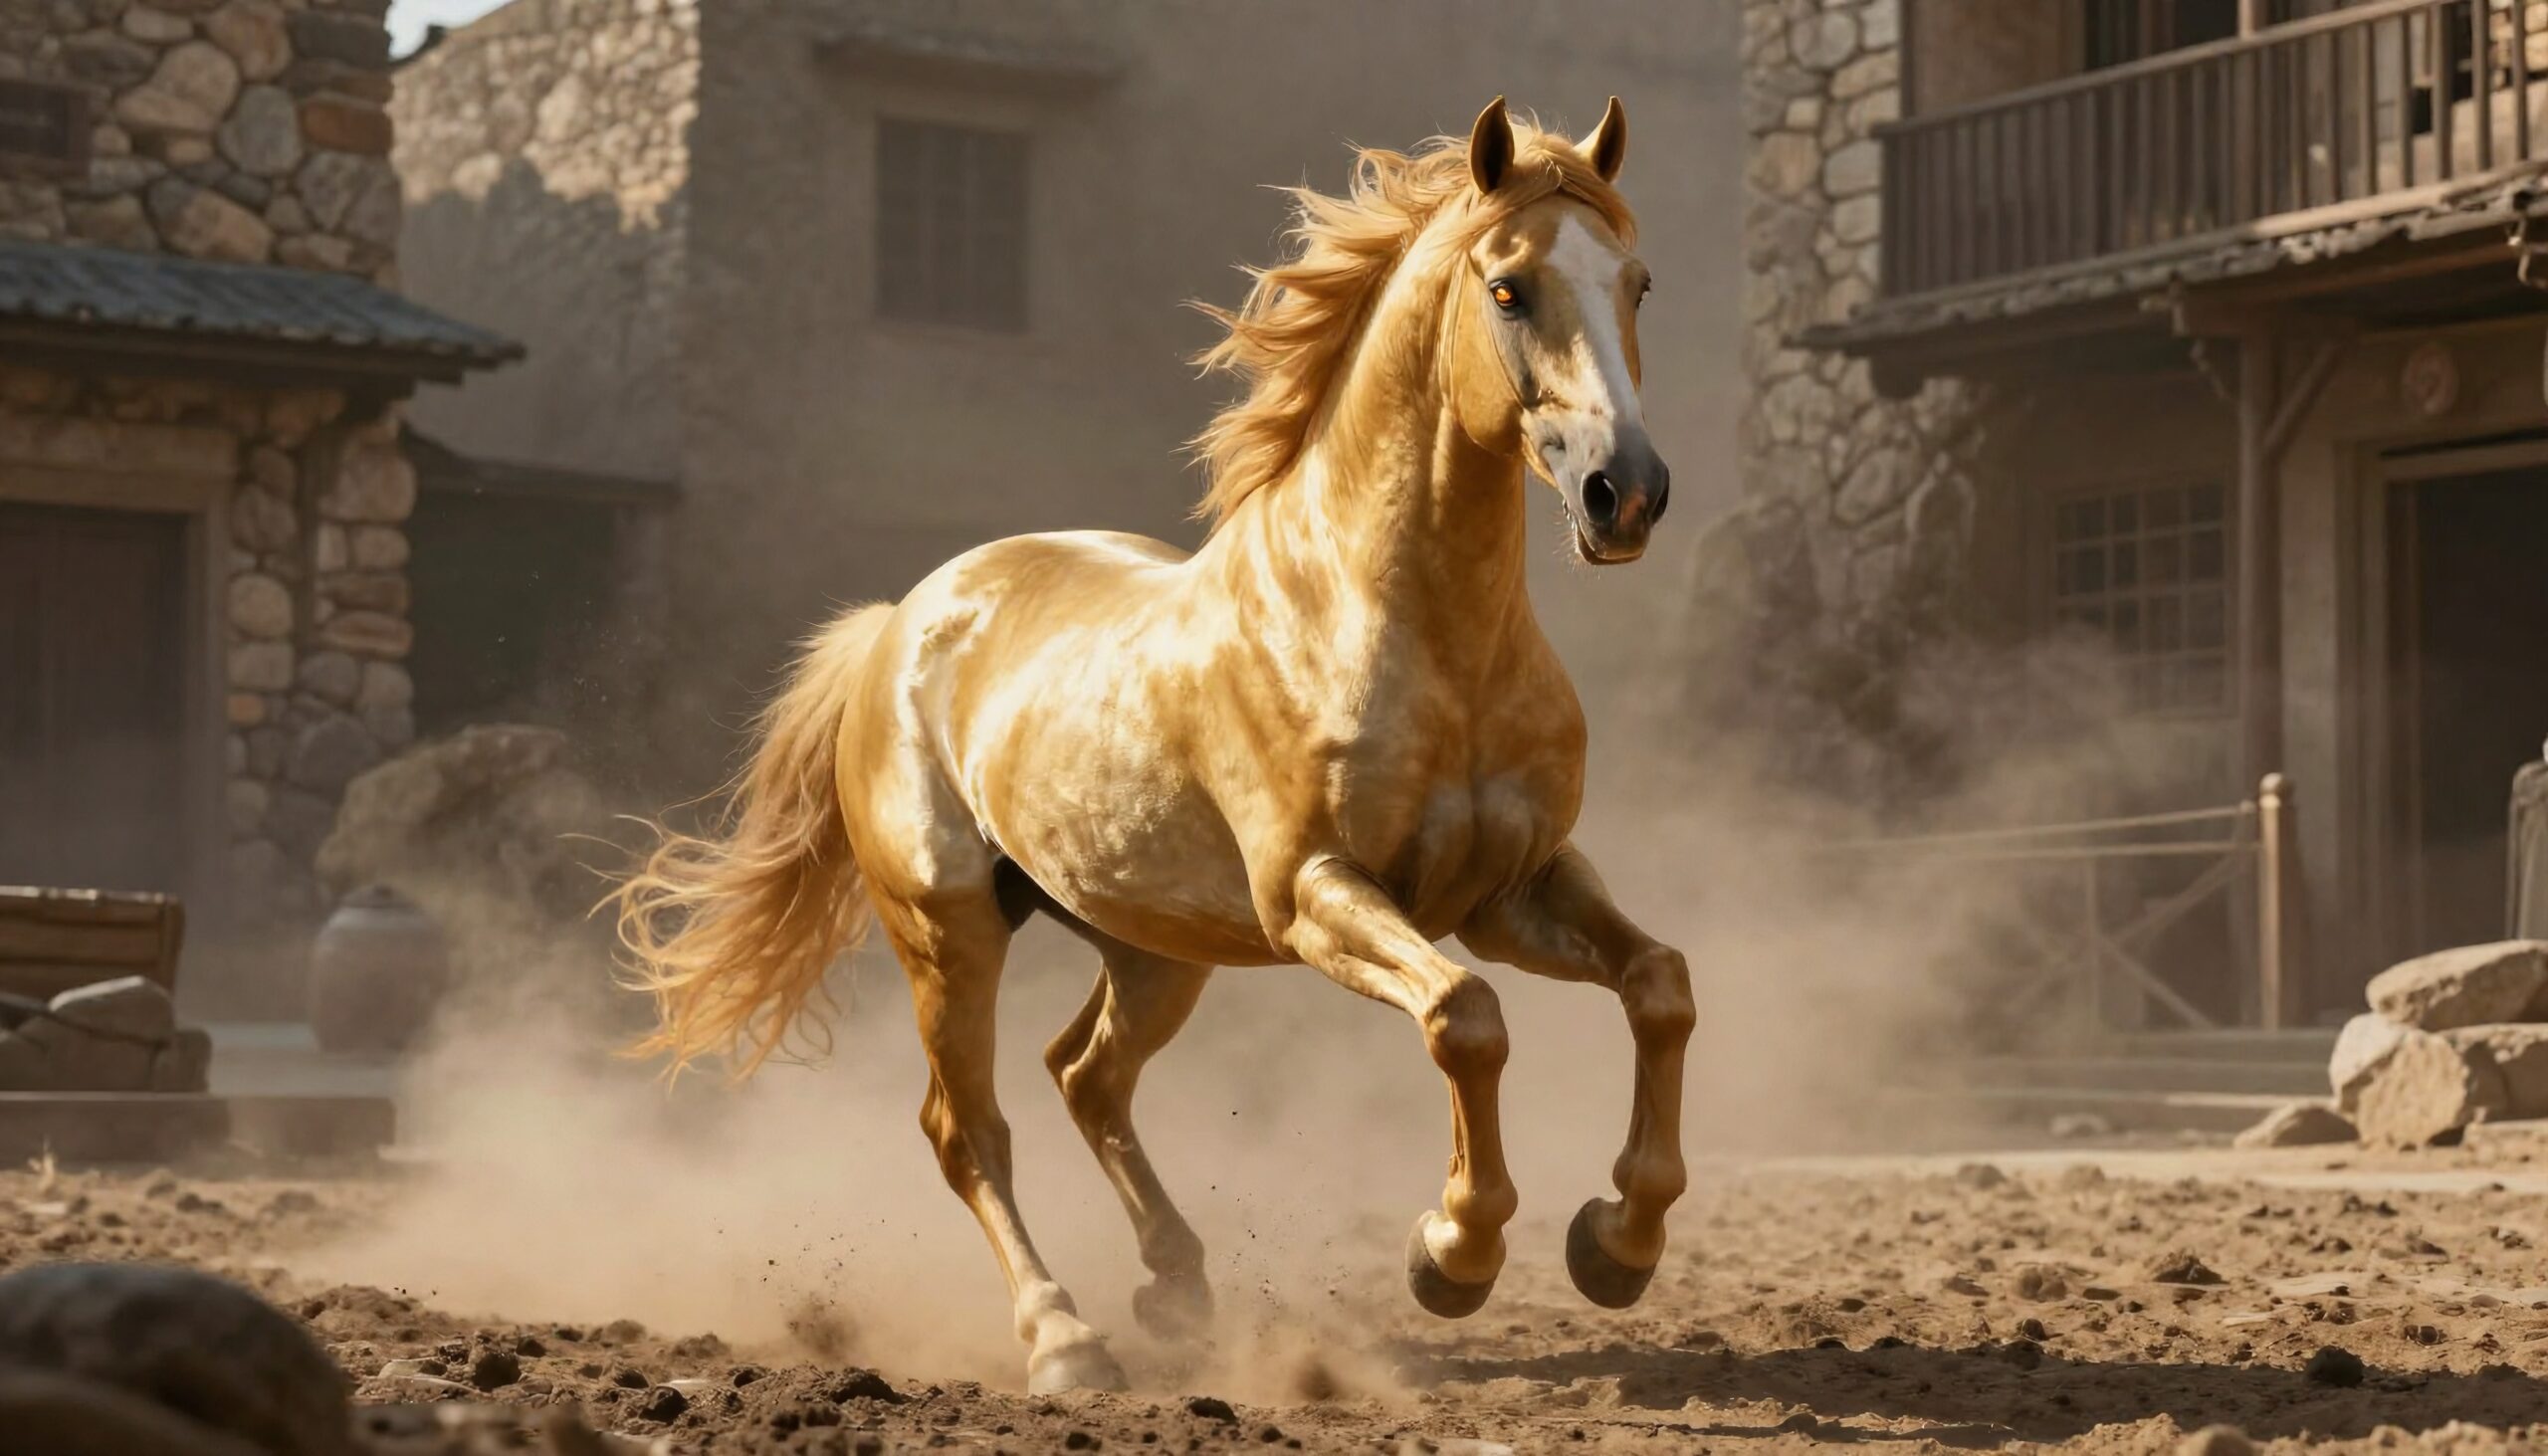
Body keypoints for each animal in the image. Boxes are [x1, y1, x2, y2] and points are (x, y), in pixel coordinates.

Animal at [610, 96, 1693, 1394]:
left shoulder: (1512, 887)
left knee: (1085, 1074)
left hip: (1152, 944)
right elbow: (1464, 1019)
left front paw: (1616, 1241)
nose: (1625, 492)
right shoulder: (1317, 894)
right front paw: (1451, 1253)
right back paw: (1065, 1338)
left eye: (1636, 281)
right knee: (968, 1129)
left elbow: (1660, 986)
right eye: (1510, 287)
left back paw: (1177, 1287)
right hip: (949, 932)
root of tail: (898, 623)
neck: (1412, 626)